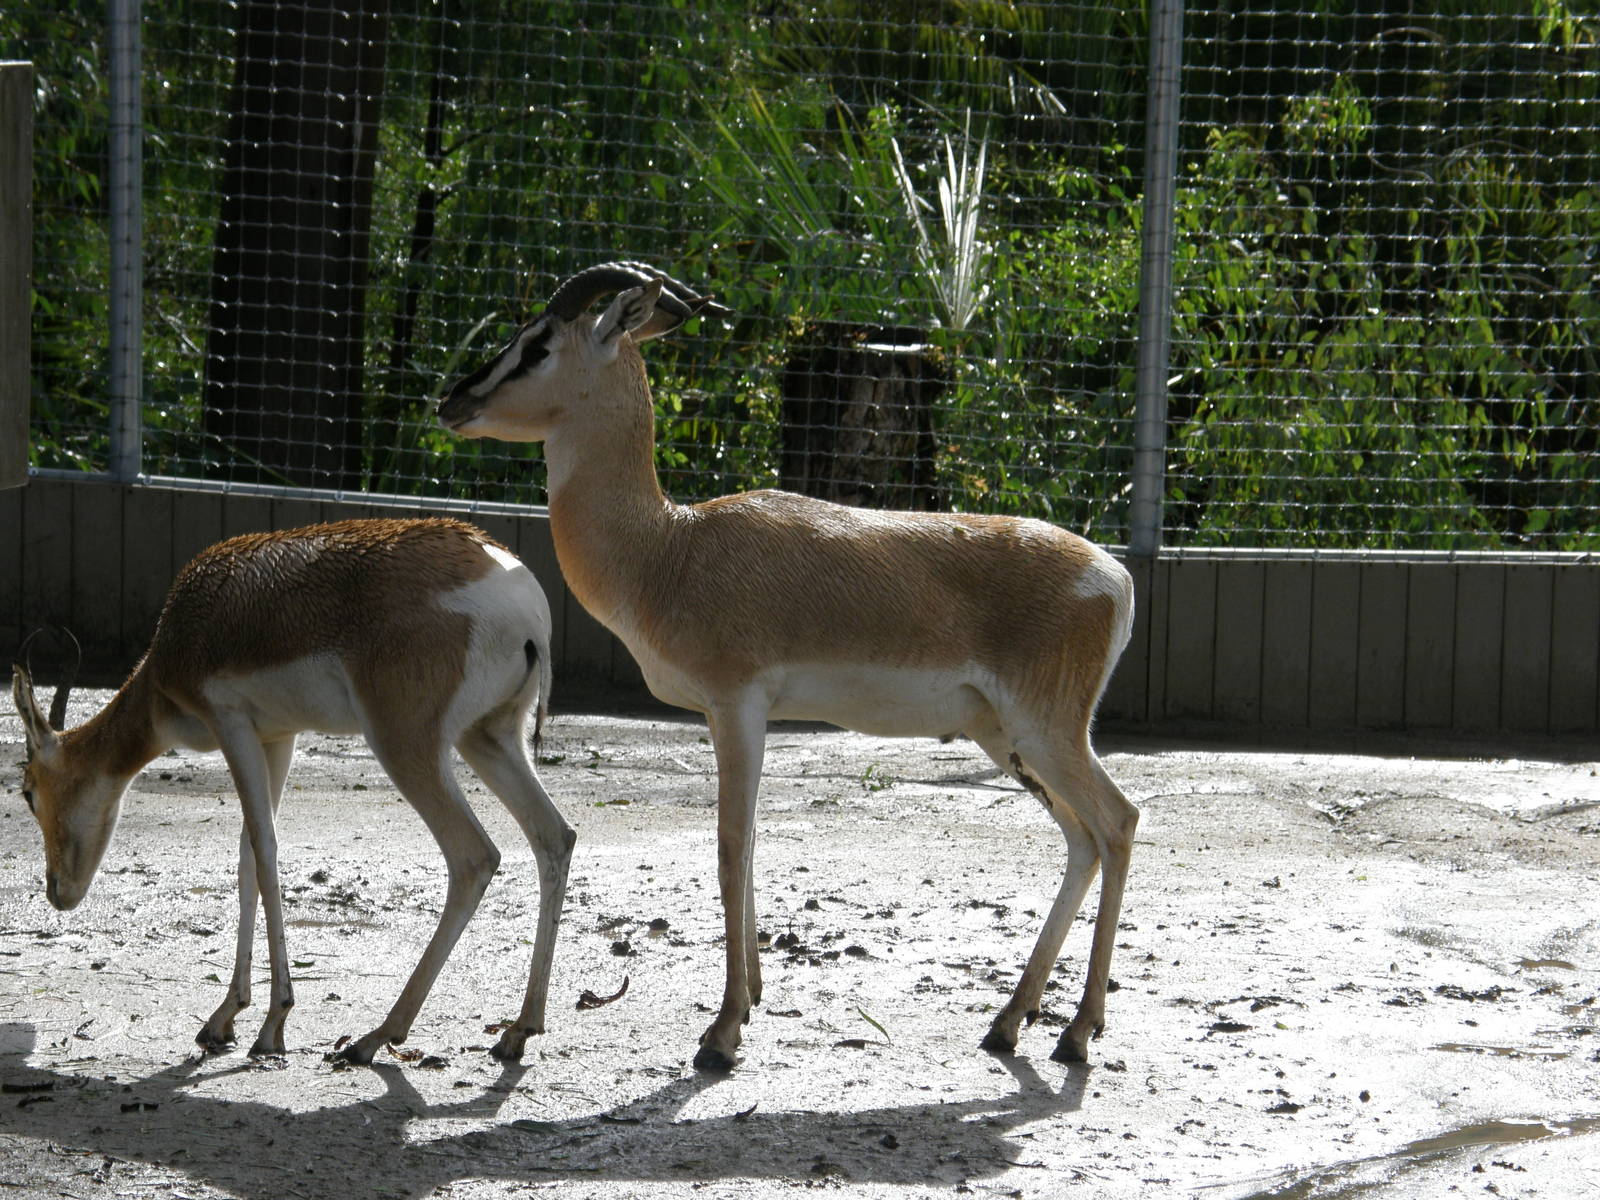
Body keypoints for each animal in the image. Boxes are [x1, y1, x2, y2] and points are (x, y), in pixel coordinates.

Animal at [10, 517, 573, 1064]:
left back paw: (374, 1038)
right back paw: (518, 1031)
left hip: (405, 742)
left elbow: (265, 850)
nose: (56, 891)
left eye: (28, 793)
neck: (187, 629)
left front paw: (273, 1023)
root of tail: (519, 594)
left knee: (474, 857)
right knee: (554, 837)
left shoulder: (231, 723)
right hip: (489, 737)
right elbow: (246, 858)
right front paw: (224, 1018)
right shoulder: (276, 737)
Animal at [437, 262, 1137, 1071]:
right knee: (1083, 840)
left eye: (537, 344)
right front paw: (751, 1001)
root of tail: (1116, 578)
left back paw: (1077, 1033)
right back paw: (1009, 1022)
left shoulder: (737, 703)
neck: (669, 549)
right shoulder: (740, 716)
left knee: (1119, 822)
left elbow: (729, 848)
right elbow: (748, 845)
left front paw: (721, 1033)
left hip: (1046, 733)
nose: (452, 402)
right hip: (1007, 740)